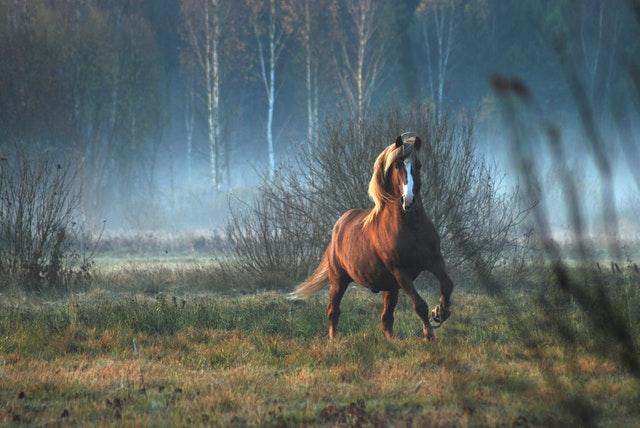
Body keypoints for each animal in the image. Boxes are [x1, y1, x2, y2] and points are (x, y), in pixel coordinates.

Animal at [289, 134, 454, 340]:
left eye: (419, 165)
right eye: (397, 165)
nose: (408, 201)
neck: (411, 227)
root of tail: (338, 227)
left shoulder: (434, 260)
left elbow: (447, 285)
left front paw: (441, 312)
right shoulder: (401, 272)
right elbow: (420, 305)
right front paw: (429, 334)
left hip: (389, 287)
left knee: (386, 318)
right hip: (339, 280)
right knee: (333, 311)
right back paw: (334, 341)